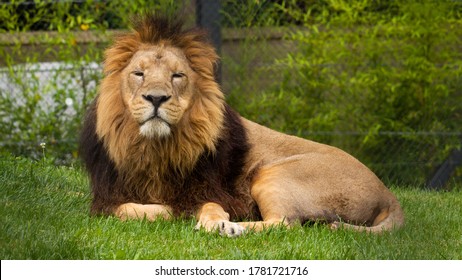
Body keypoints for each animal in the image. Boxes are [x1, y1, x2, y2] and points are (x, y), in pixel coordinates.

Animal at [80, 13, 404, 236]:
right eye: (138, 73)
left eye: (177, 75)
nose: (156, 98)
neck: (155, 148)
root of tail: (387, 193)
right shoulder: (108, 198)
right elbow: (126, 209)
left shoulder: (209, 192)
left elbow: (194, 207)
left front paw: (204, 218)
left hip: (273, 173)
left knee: (285, 224)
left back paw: (235, 228)